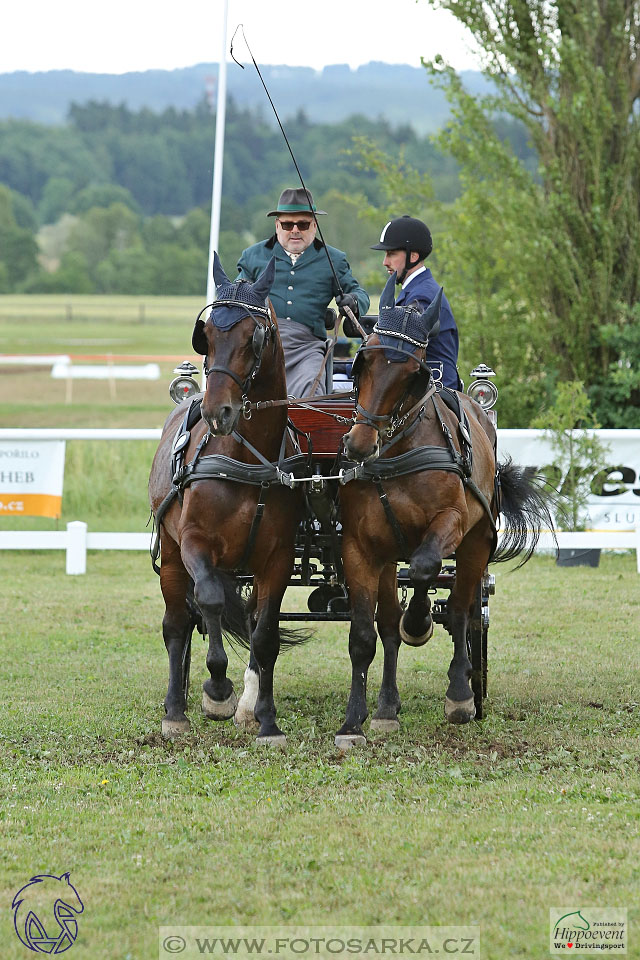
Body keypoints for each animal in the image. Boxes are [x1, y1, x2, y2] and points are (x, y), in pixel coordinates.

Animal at [149, 253, 304, 744]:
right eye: (208, 335)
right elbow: (211, 603)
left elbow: (266, 631)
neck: (245, 457)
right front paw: (217, 689)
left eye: (253, 337)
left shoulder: (276, 557)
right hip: (173, 554)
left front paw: (266, 718)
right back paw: (175, 710)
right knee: (178, 622)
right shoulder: (196, 543)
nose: (217, 411)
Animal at [338, 274, 552, 748]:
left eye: (412, 374)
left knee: (460, 609)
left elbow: (425, 569)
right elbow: (364, 635)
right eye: (364, 362)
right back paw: (387, 706)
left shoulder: (450, 525)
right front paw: (353, 721)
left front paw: (420, 622)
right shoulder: (361, 547)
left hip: (476, 544)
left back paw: (460, 694)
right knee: (388, 623)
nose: (359, 445)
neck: (399, 449)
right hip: (388, 558)